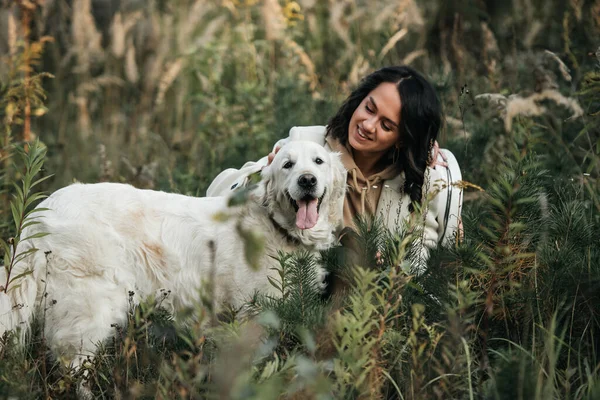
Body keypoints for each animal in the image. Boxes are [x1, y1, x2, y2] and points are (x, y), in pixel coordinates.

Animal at [0, 141, 346, 368]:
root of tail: (43, 207)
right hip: (91, 306)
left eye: (318, 161)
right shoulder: (251, 314)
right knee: (73, 366)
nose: (307, 180)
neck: (276, 225)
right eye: (287, 164)